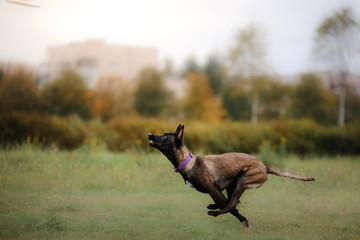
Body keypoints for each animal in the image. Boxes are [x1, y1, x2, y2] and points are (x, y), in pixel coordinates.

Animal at [148, 124, 314, 227]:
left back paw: (215, 212)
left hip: (241, 180)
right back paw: (215, 207)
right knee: (233, 201)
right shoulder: (219, 189)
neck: (188, 162)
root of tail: (264, 166)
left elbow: (231, 207)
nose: (149, 134)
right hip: (233, 184)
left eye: (164, 137)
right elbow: (229, 204)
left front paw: (244, 220)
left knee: (232, 204)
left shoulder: (213, 189)